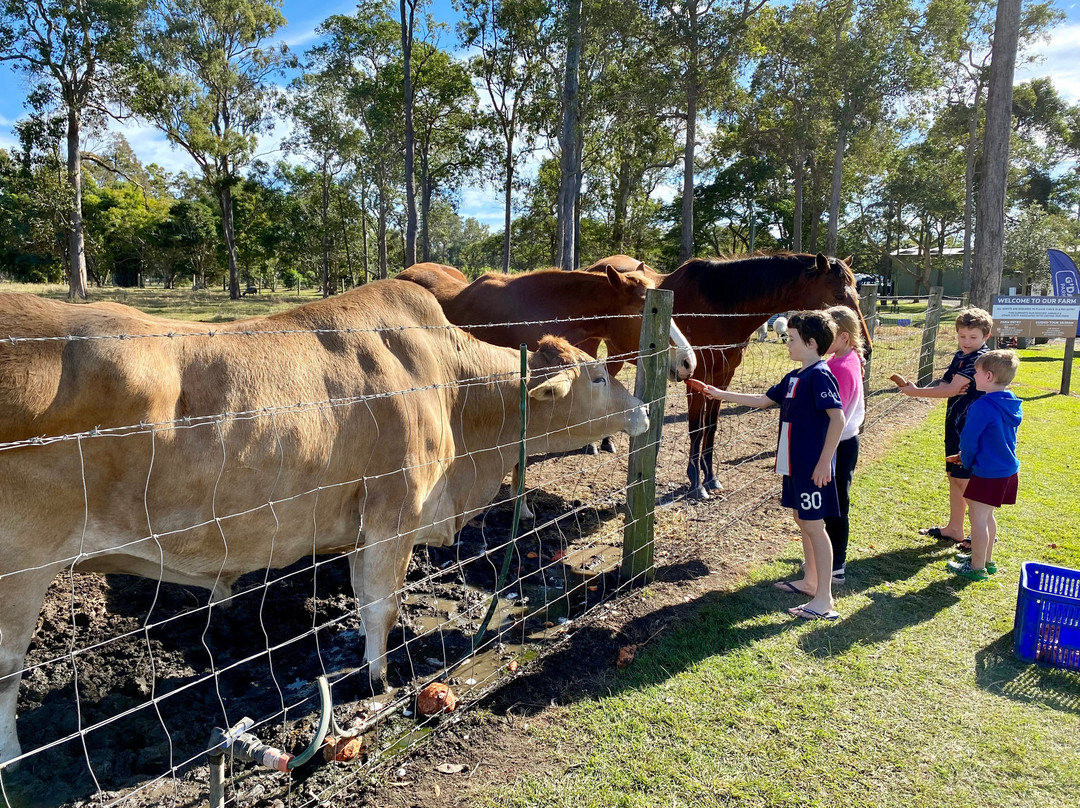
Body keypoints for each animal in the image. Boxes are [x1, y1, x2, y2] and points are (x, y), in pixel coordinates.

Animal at [0, 280, 643, 769]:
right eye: (597, 377)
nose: (640, 411)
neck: (456, 391)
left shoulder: (360, 526)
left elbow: (363, 602)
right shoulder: (393, 515)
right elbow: (381, 606)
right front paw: (379, 681)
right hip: (20, 574)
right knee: (6, 676)